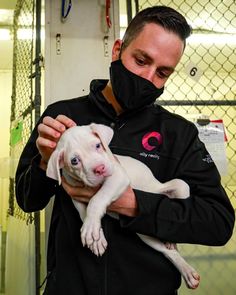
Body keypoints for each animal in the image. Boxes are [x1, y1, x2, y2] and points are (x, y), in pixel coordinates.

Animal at [47, 123, 200, 290]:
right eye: (74, 161)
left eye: (98, 145)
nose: (100, 169)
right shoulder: (76, 195)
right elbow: (84, 213)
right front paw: (95, 237)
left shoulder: (117, 176)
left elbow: (97, 199)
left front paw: (92, 229)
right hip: (146, 236)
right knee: (167, 252)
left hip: (178, 186)